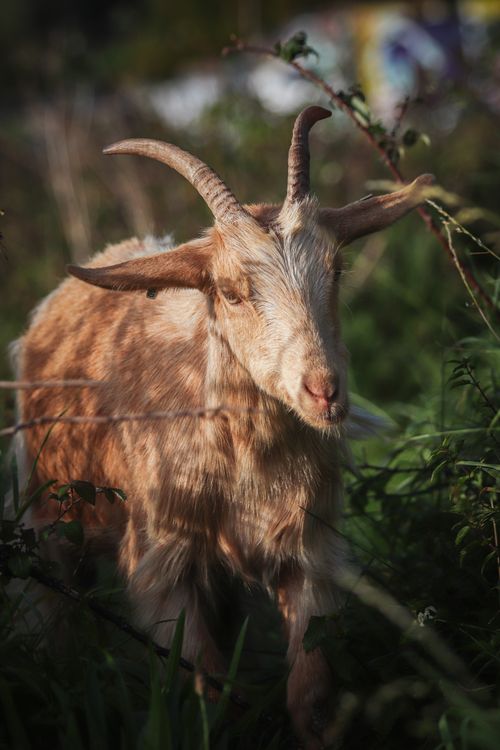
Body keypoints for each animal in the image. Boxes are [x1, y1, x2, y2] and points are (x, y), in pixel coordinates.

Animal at [14, 106, 432, 748]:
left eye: (336, 268)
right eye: (232, 292)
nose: (324, 390)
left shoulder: (308, 553)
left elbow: (310, 697)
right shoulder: (165, 562)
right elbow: (209, 694)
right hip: (49, 517)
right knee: (55, 613)